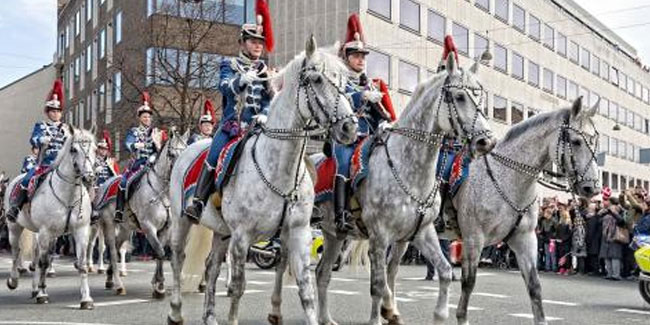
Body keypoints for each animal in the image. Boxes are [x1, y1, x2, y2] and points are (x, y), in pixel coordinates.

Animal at [3, 125, 97, 308]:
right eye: (73, 149)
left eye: (95, 149)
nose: (89, 177)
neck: (68, 196)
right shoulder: (45, 231)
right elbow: (44, 263)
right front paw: (42, 294)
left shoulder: (81, 231)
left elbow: (81, 263)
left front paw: (86, 299)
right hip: (15, 227)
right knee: (17, 252)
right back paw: (14, 280)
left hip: (44, 234)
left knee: (36, 255)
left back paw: (34, 288)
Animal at [91, 129, 187, 296]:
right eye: (172, 154)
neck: (161, 192)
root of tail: (104, 186)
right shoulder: (148, 227)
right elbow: (160, 252)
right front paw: (159, 286)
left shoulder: (165, 229)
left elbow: (160, 253)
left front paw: (157, 283)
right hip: (108, 225)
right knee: (111, 251)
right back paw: (118, 284)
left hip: (125, 229)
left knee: (117, 247)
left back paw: (109, 277)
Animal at [167, 36, 356, 324]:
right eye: (316, 79)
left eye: (344, 81)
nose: (349, 127)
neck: (279, 170)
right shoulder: (242, 236)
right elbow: (238, 287)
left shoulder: (299, 233)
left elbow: (306, 289)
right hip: (182, 220)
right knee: (178, 257)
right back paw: (176, 311)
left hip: (222, 231)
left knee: (211, 267)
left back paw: (209, 315)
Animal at [438, 97, 600, 322]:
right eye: (576, 141)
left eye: (594, 142)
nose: (592, 188)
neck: (506, 178)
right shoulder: (473, 239)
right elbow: (468, 284)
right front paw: (462, 317)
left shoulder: (525, 239)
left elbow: (535, 287)